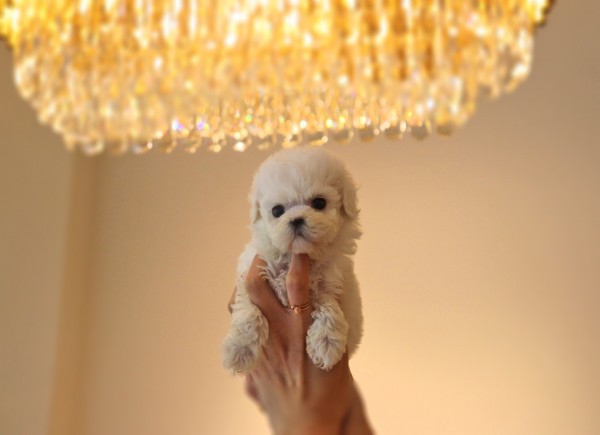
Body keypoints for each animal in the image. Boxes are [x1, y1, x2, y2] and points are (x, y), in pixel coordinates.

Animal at [222, 147, 362, 372]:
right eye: (277, 210)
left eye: (319, 203)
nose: (296, 220)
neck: (296, 256)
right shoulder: (250, 273)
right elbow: (248, 310)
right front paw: (239, 349)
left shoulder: (332, 279)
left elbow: (328, 303)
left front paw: (326, 344)